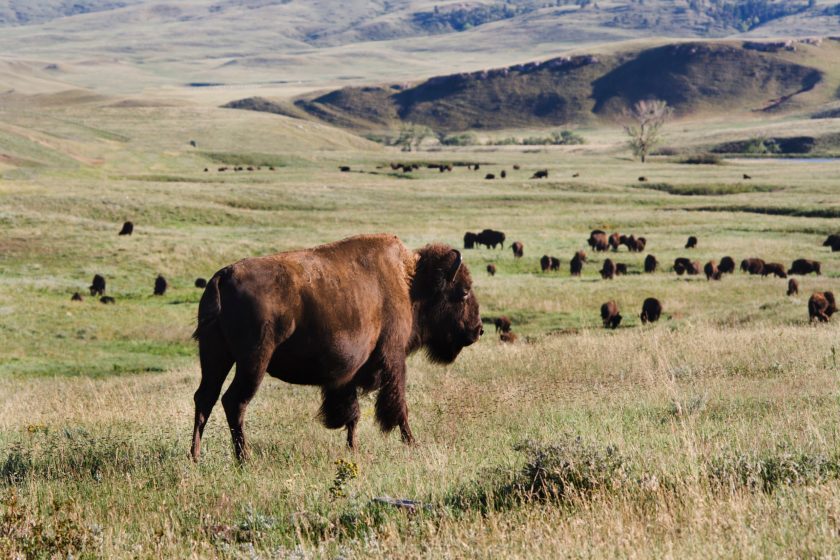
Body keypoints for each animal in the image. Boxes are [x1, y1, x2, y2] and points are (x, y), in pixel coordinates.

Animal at [189, 234, 480, 462]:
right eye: (463, 292)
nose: (478, 330)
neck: (409, 282)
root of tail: (223, 276)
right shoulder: (393, 355)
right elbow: (398, 405)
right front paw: (412, 443)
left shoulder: (348, 374)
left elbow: (352, 413)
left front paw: (353, 449)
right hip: (254, 361)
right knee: (234, 401)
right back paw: (244, 459)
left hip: (215, 357)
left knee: (205, 398)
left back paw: (195, 456)